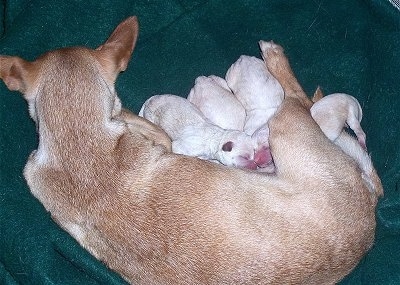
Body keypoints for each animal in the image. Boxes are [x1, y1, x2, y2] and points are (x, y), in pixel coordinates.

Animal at [138, 93, 272, 169]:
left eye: (254, 153)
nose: (256, 166)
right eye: (244, 157)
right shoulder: (181, 146)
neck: (217, 139)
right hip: (151, 117)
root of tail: (149, 100)